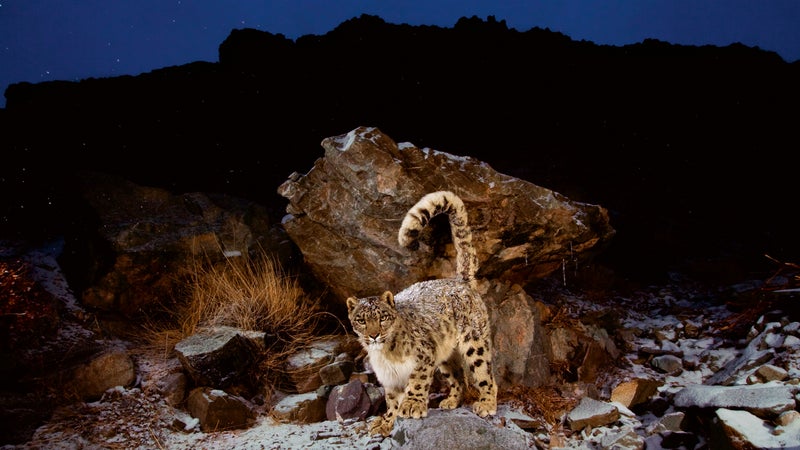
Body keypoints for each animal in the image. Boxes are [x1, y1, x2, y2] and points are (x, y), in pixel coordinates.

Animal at [346, 190, 496, 436]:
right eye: (361, 320)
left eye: (382, 318)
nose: (374, 335)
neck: (384, 354)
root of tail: (460, 282)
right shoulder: (390, 379)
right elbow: (391, 402)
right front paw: (386, 423)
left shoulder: (424, 355)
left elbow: (417, 381)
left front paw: (412, 405)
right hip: (445, 356)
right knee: (459, 377)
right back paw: (450, 401)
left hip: (474, 342)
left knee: (485, 372)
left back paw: (486, 404)